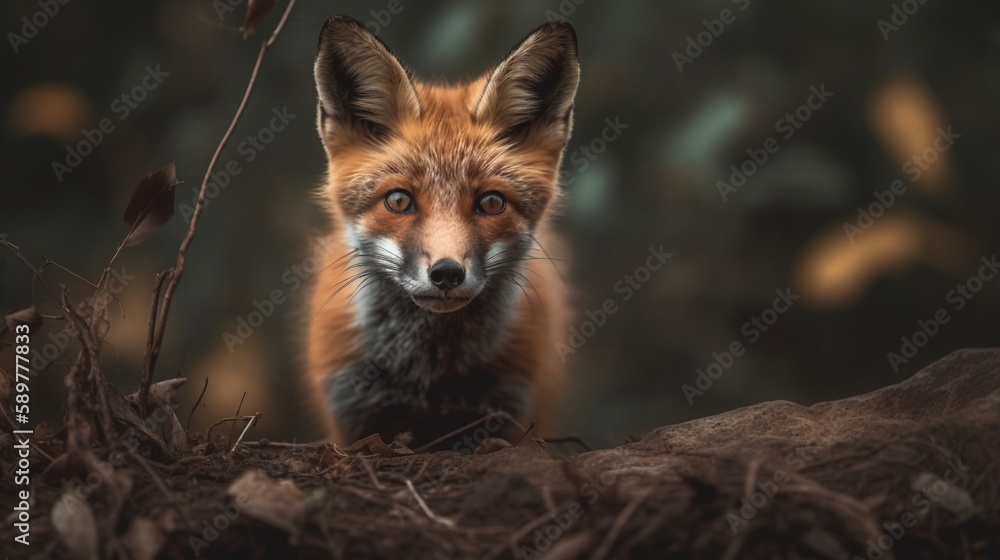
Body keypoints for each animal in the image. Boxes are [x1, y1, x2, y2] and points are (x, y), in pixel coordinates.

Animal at [305, 15, 580, 450]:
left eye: (491, 203)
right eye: (398, 200)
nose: (447, 274)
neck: (429, 372)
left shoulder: (507, 411)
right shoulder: (352, 416)